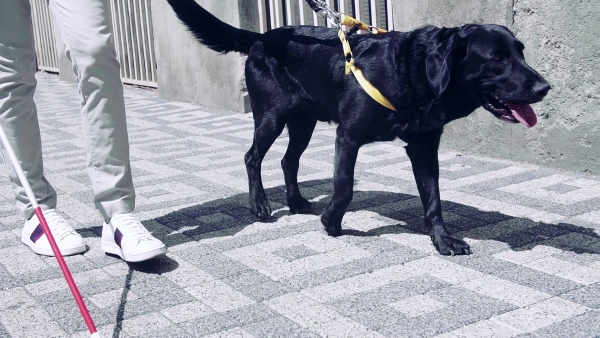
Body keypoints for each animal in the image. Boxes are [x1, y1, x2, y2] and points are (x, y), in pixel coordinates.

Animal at [168, 0, 548, 254]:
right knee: (252, 157)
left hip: (304, 122)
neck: (411, 70)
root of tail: (263, 37)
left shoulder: (424, 146)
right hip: (271, 117)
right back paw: (260, 206)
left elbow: (433, 198)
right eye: (496, 59)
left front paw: (442, 239)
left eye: (521, 52)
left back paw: (296, 202)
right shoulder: (348, 136)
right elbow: (345, 186)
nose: (544, 87)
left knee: (289, 160)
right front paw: (331, 222)